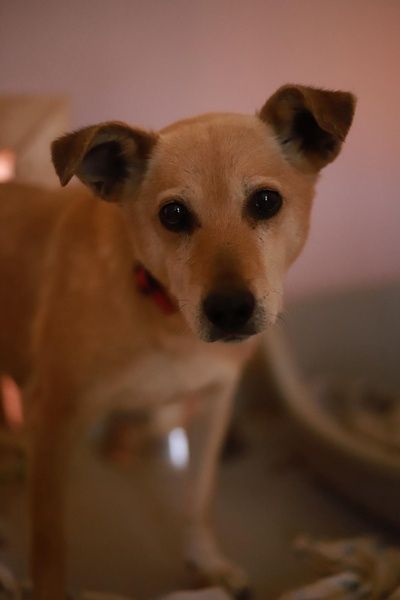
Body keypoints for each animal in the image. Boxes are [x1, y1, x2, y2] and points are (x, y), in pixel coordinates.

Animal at [0, 84, 355, 600]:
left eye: (266, 201)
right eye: (173, 214)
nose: (229, 310)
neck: (168, 318)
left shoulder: (212, 404)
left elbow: (197, 500)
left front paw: (205, 562)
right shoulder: (55, 416)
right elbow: (49, 540)